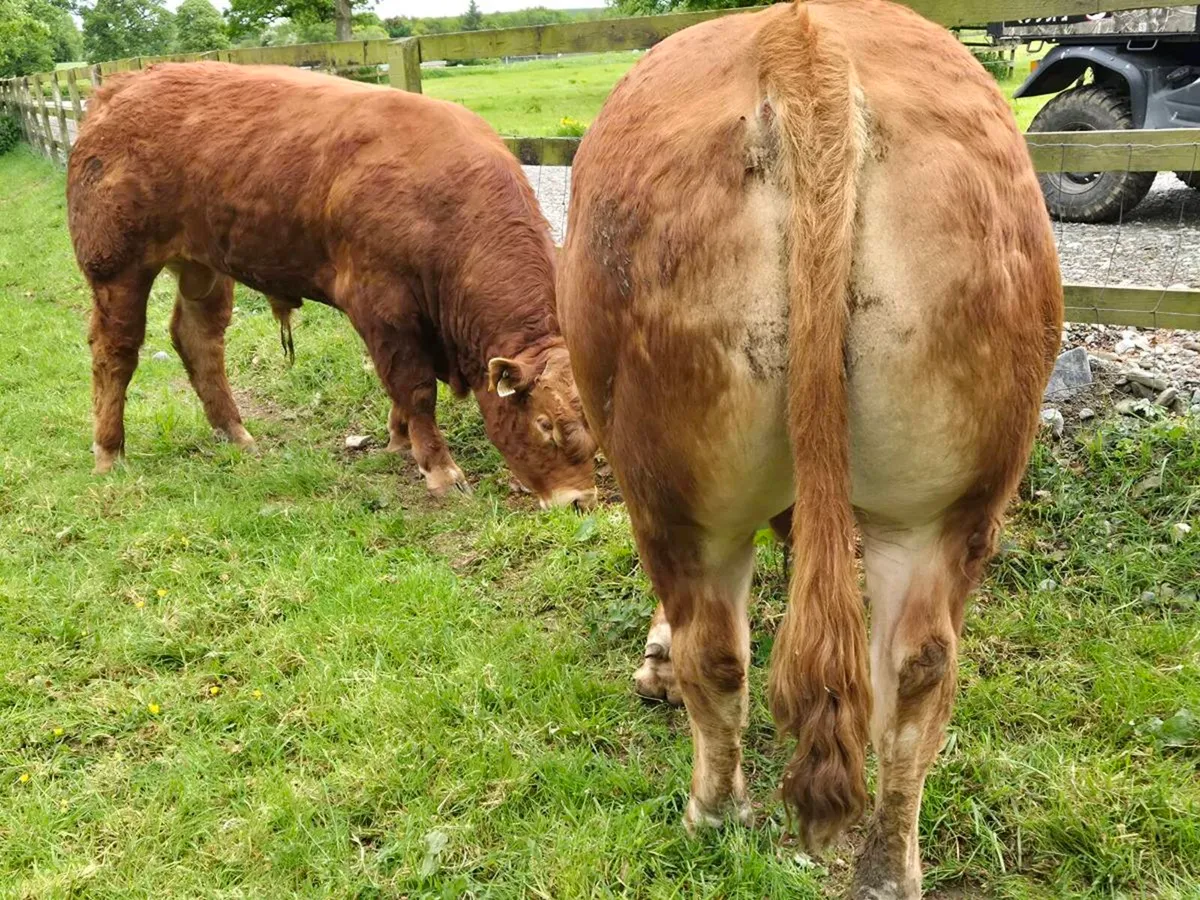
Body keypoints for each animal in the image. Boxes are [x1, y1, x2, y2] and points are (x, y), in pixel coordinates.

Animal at [67, 62, 597, 509]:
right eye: (545, 425)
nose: (580, 501)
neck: (442, 206)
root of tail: (119, 88)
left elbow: (401, 391)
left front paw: (399, 438)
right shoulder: (381, 305)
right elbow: (415, 388)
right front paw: (440, 469)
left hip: (203, 267)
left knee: (198, 342)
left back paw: (234, 432)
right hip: (117, 267)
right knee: (115, 353)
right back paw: (109, 451)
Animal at [559, 1, 1062, 896]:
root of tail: (803, 40)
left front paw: (654, 661)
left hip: (674, 495)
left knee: (717, 650)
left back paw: (713, 814)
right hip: (948, 501)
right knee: (918, 669)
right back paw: (887, 867)